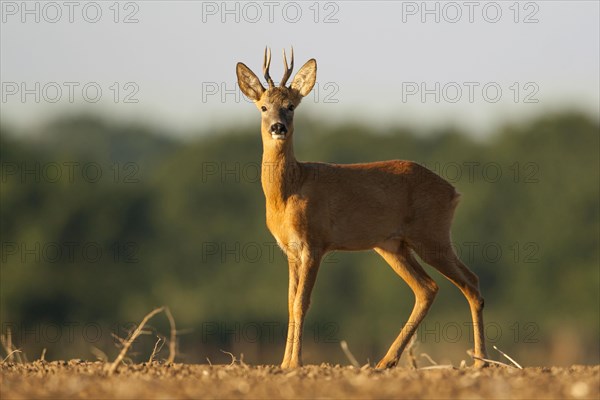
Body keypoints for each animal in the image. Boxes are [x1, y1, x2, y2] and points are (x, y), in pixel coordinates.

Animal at [234, 48, 488, 370]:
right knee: (428, 288)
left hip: (432, 235)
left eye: (290, 106)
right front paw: (283, 363)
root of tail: (453, 192)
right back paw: (386, 361)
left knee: (470, 283)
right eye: (264, 107)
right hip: (392, 245)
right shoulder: (290, 250)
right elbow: (290, 303)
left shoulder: (314, 244)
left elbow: (302, 302)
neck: (290, 190)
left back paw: (481, 362)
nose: (278, 127)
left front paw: (296, 363)